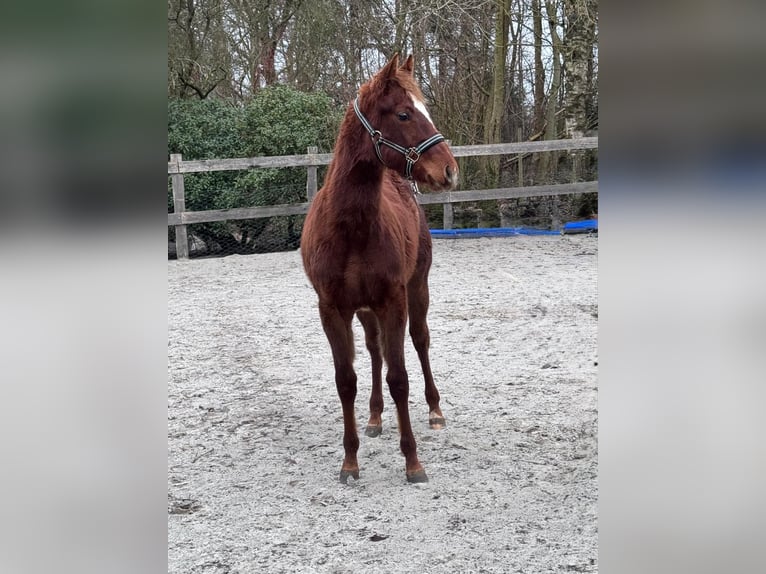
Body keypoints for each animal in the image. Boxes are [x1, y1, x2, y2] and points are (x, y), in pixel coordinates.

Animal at [300, 54, 459, 483]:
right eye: (404, 113)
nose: (450, 170)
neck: (351, 228)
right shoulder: (332, 309)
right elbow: (346, 381)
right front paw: (350, 461)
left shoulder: (394, 301)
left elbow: (399, 378)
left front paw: (413, 462)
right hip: (365, 310)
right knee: (374, 351)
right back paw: (373, 417)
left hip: (417, 289)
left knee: (420, 341)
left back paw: (435, 411)